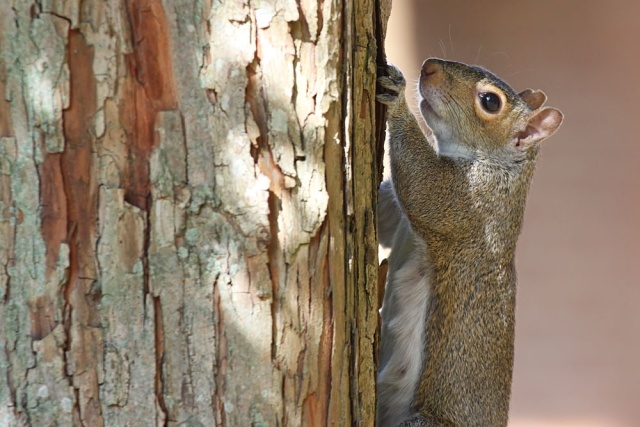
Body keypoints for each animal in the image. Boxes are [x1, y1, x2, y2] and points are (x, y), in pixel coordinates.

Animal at [375, 58, 563, 427]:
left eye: (490, 102)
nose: (428, 66)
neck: (503, 167)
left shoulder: (469, 203)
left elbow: (423, 186)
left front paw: (397, 99)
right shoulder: (400, 221)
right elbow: (385, 224)